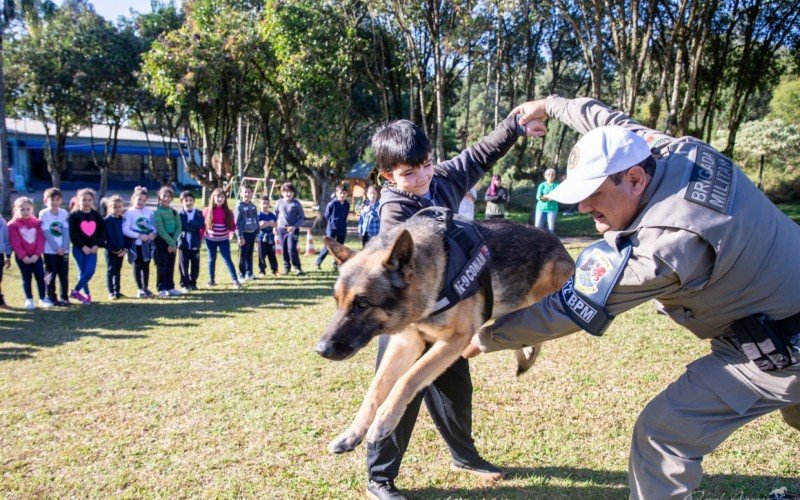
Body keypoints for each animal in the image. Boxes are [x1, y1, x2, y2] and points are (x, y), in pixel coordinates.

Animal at [314, 215, 576, 454]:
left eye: (362, 304)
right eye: (337, 301)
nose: (321, 349)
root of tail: (556, 241)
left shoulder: (454, 340)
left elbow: (409, 377)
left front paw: (384, 420)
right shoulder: (406, 343)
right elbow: (375, 389)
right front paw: (352, 433)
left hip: (542, 294)